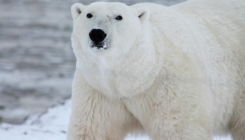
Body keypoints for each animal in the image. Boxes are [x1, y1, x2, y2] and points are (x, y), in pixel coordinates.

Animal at [67, 0, 245, 139]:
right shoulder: (99, 91)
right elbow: (93, 130)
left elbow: (180, 129)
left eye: (119, 17)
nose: (97, 34)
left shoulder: (170, 86)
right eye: (89, 15)